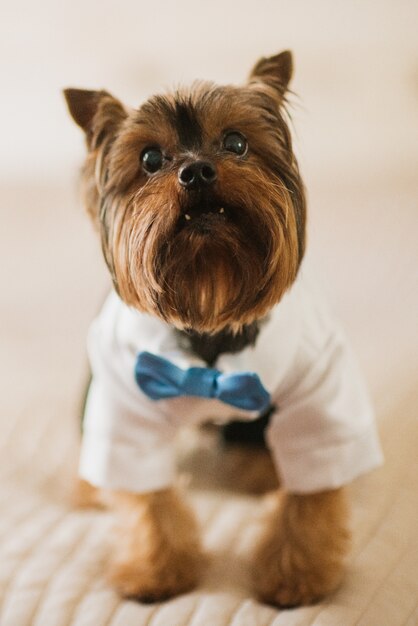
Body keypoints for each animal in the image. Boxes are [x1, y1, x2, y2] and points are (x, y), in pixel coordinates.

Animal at [64, 51, 382, 608]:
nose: (196, 171)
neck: (209, 312)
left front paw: (297, 574)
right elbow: (145, 496)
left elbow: (312, 488)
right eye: (150, 159)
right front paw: (155, 569)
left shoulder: (321, 392)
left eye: (235, 143)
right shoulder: (126, 401)